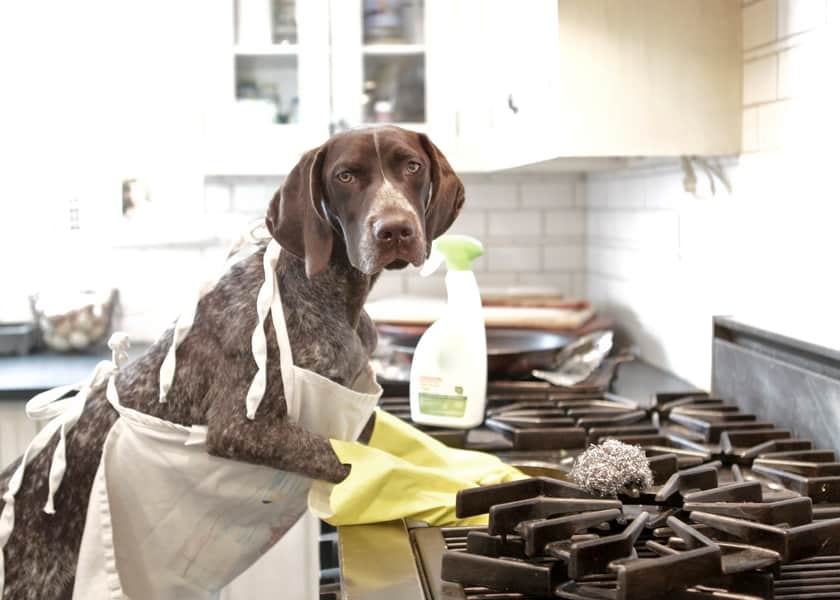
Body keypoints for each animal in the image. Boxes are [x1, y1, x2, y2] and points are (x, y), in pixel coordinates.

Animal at [0, 124, 466, 596]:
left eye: (412, 166)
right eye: (345, 176)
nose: (395, 230)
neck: (329, 291)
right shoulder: (241, 427)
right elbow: (343, 456)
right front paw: (430, 484)